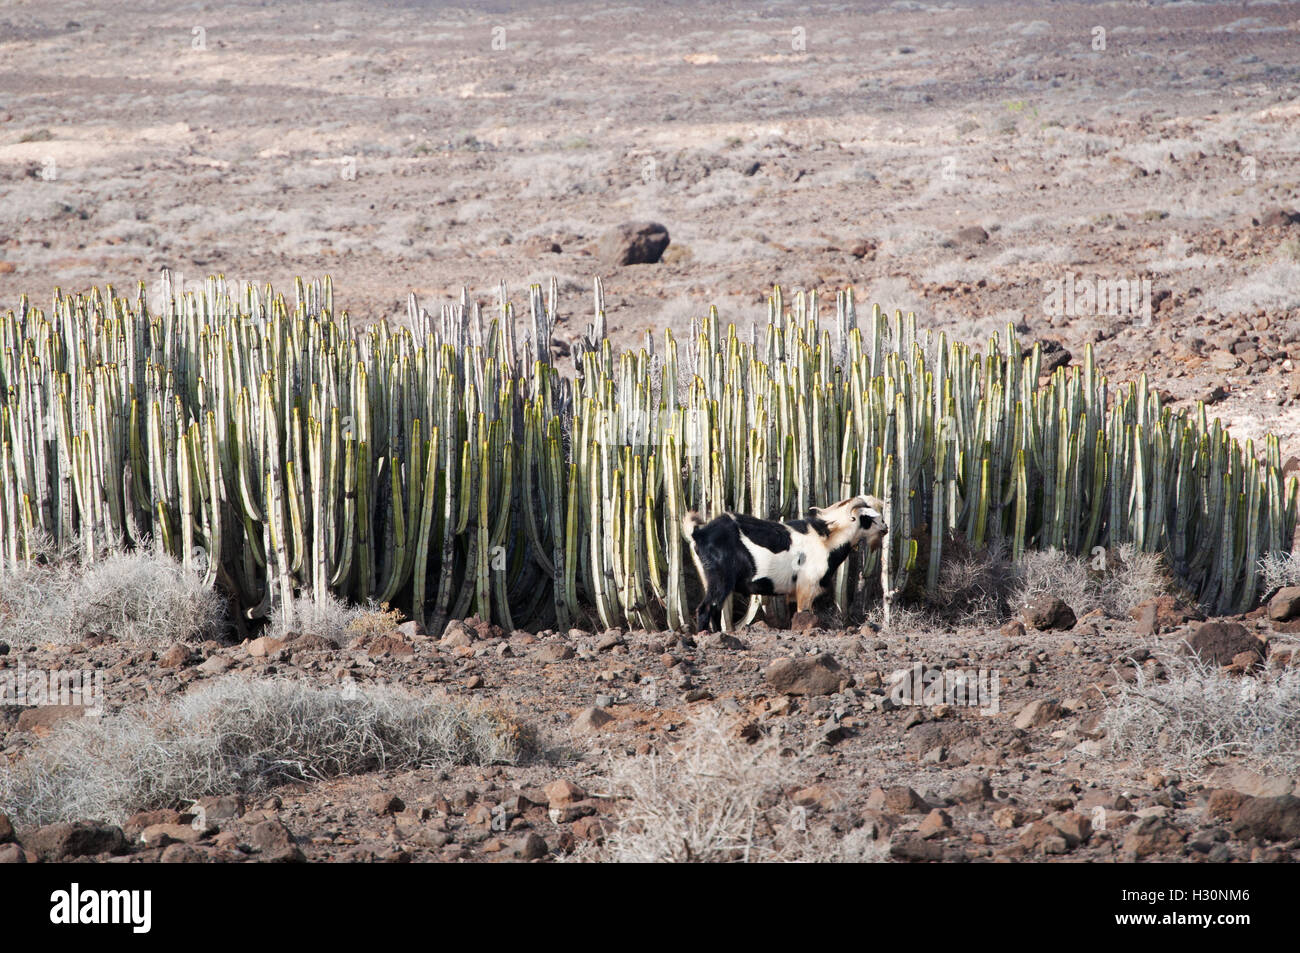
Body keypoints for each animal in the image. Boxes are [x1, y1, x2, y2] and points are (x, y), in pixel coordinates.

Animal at [676, 494, 889, 629]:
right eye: (867, 517)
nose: (885, 528)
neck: (826, 539)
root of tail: (699, 533)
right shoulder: (806, 588)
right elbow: (803, 614)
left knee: (715, 609)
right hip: (720, 579)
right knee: (705, 609)